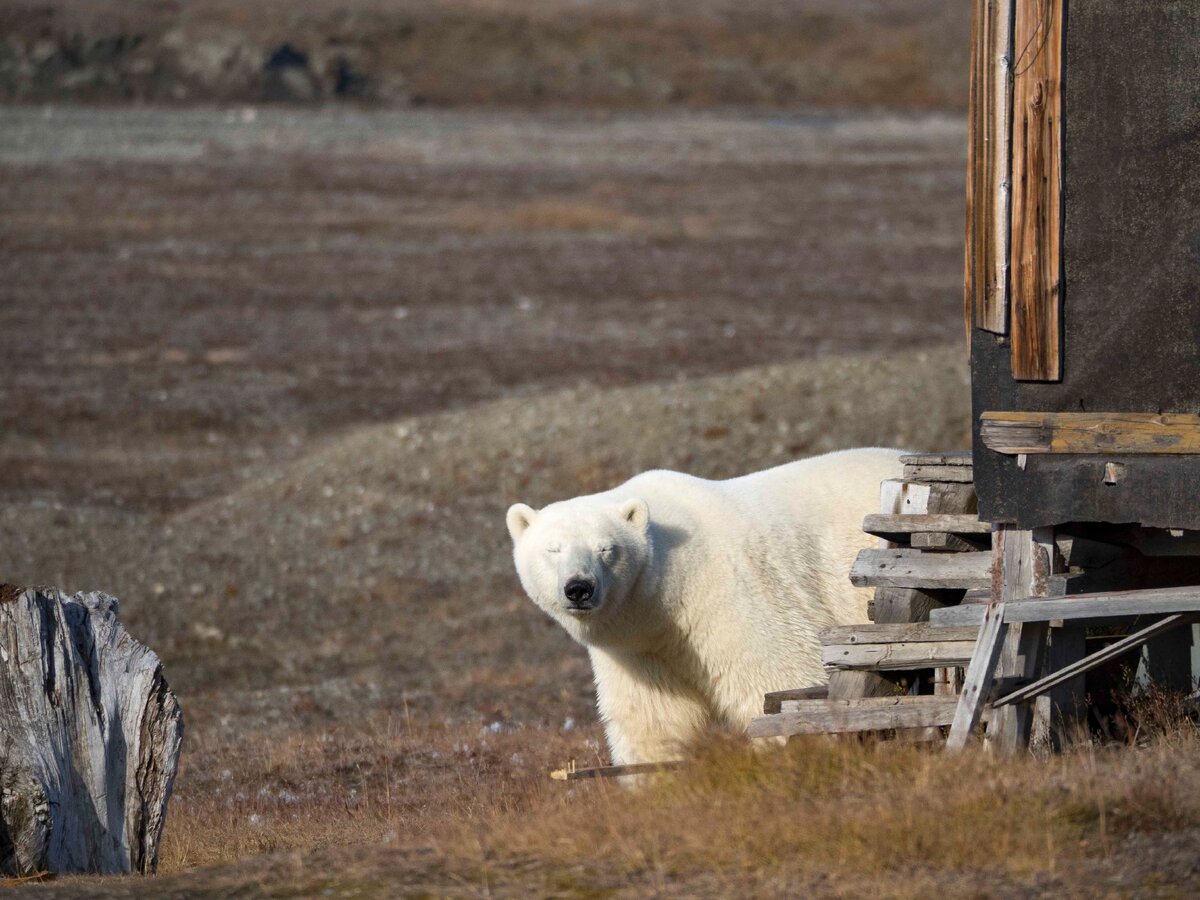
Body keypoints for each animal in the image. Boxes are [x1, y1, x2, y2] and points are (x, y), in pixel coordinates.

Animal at [501, 448, 902, 763]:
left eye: (606, 549)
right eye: (553, 549)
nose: (579, 588)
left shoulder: (728, 594)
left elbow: (778, 677)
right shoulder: (638, 649)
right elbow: (650, 717)